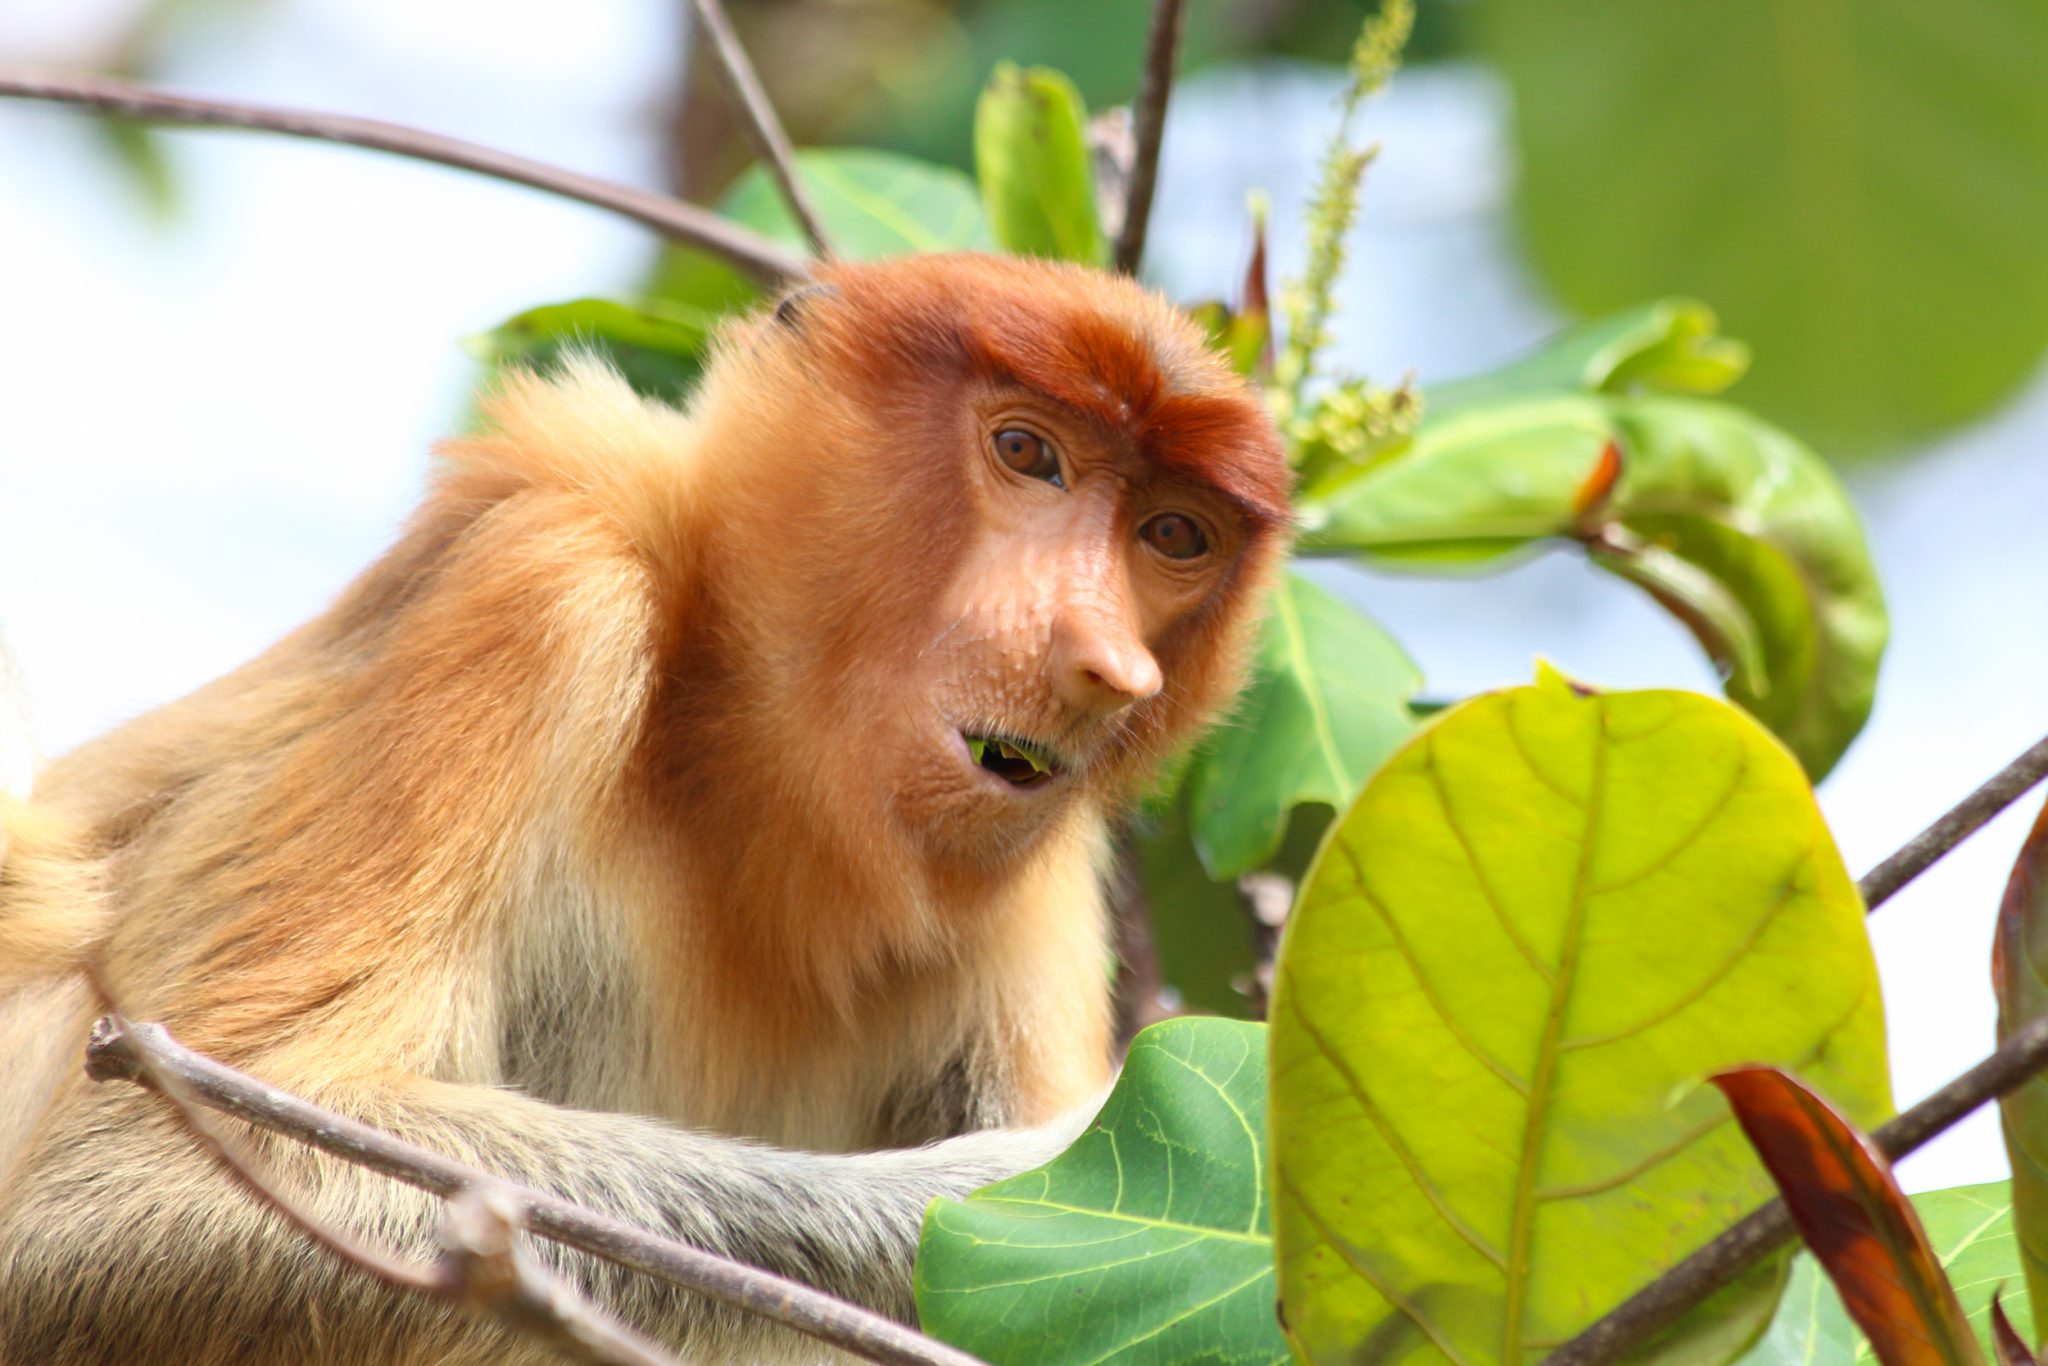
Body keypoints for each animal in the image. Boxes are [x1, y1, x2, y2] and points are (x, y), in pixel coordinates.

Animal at [0, 252, 1293, 1365]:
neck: (734, 761)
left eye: (1173, 534)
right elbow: (124, 1195)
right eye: (1027, 452)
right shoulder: (544, 580)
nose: (1102, 663)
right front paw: (1042, 1183)